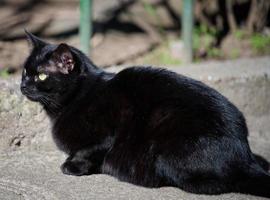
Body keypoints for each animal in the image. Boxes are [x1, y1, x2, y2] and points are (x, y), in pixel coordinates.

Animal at [21, 31, 270, 198]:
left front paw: (73, 166)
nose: (22, 85)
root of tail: (243, 154)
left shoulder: (109, 131)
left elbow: (88, 150)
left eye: (41, 76)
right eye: (25, 72)